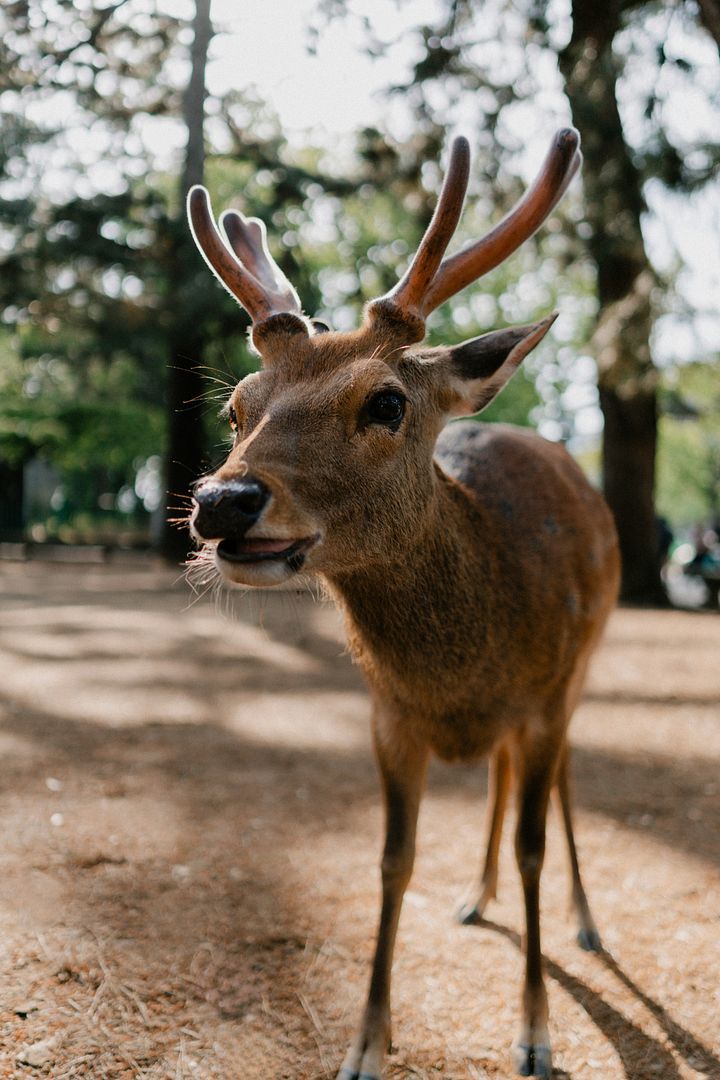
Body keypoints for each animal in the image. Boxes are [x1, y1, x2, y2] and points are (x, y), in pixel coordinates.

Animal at [184, 128, 621, 1080]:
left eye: (385, 401)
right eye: (237, 408)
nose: (223, 501)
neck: (459, 676)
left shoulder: (542, 701)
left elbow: (535, 847)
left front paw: (536, 1033)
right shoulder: (387, 714)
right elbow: (392, 861)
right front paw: (365, 1043)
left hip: (583, 668)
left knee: (563, 784)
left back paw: (586, 922)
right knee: (495, 778)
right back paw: (475, 894)